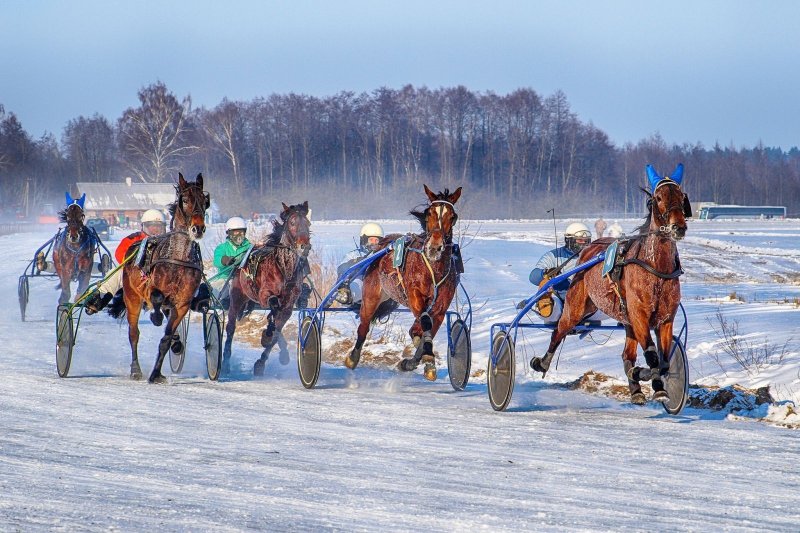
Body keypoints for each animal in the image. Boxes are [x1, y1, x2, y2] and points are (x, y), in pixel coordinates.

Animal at [117, 172, 209, 380]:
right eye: (185, 200)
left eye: (204, 200)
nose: (198, 228)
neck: (177, 258)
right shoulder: (151, 288)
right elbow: (157, 298)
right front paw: (156, 317)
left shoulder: (182, 304)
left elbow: (166, 338)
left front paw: (156, 374)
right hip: (132, 297)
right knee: (133, 334)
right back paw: (136, 369)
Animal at [225, 202, 316, 376]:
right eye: (292, 223)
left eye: (308, 223)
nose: (305, 246)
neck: (284, 268)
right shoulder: (264, 295)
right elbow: (273, 306)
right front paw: (266, 335)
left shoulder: (288, 305)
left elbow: (277, 330)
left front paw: (262, 362)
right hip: (237, 297)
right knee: (230, 327)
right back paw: (225, 357)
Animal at [344, 185, 462, 380]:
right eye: (429, 213)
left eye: (452, 216)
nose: (435, 247)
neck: (433, 268)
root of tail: (381, 246)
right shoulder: (415, 296)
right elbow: (425, 324)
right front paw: (427, 357)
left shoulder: (440, 308)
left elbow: (426, 332)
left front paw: (415, 361)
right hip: (371, 296)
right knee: (364, 326)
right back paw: (352, 358)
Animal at [532, 162, 688, 404]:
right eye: (658, 197)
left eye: (681, 196)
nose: (678, 227)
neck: (656, 269)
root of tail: (589, 249)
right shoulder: (639, 315)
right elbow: (652, 355)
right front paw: (657, 386)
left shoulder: (665, 318)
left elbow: (663, 361)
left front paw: (644, 377)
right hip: (577, 306)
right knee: (559, 330)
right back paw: (542, 362)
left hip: (625, 319)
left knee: (627, 355)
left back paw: (636, 388)